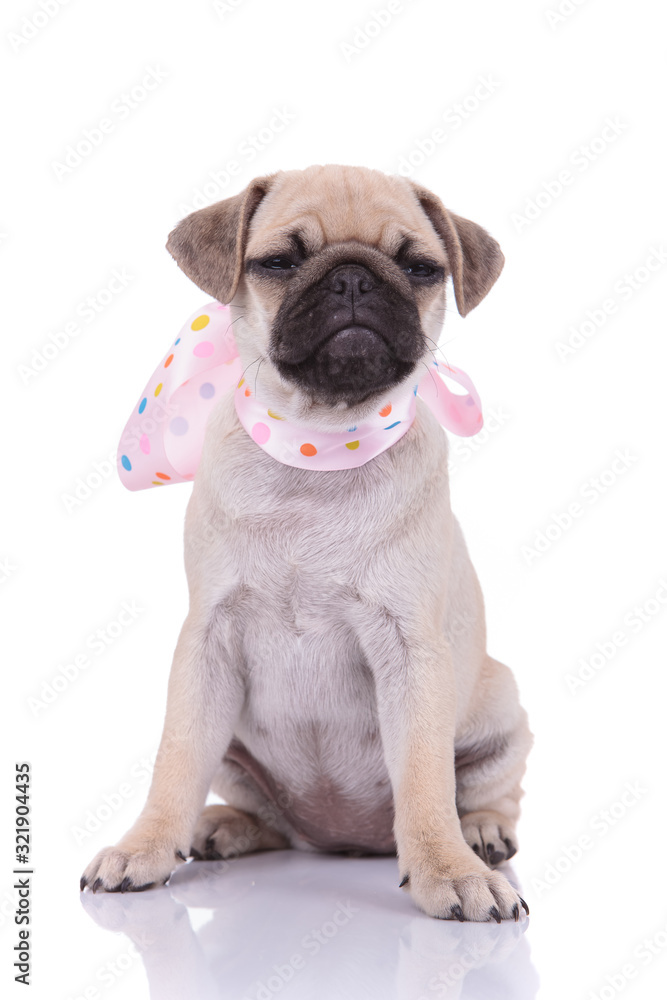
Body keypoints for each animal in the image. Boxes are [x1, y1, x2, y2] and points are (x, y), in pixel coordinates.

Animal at [82, 164, 532, 920]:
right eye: (278, 263)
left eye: (420, 268)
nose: (352, 279)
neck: (318, 444)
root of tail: (343, 841)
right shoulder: (206, 644)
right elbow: (176, 760)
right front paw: (145, 845)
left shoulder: (411, 652)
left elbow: (424, 778)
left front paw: (448, 868)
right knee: (263, 814)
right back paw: (220, 826)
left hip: (500, 708)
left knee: (487, 792)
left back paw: (480, 833)